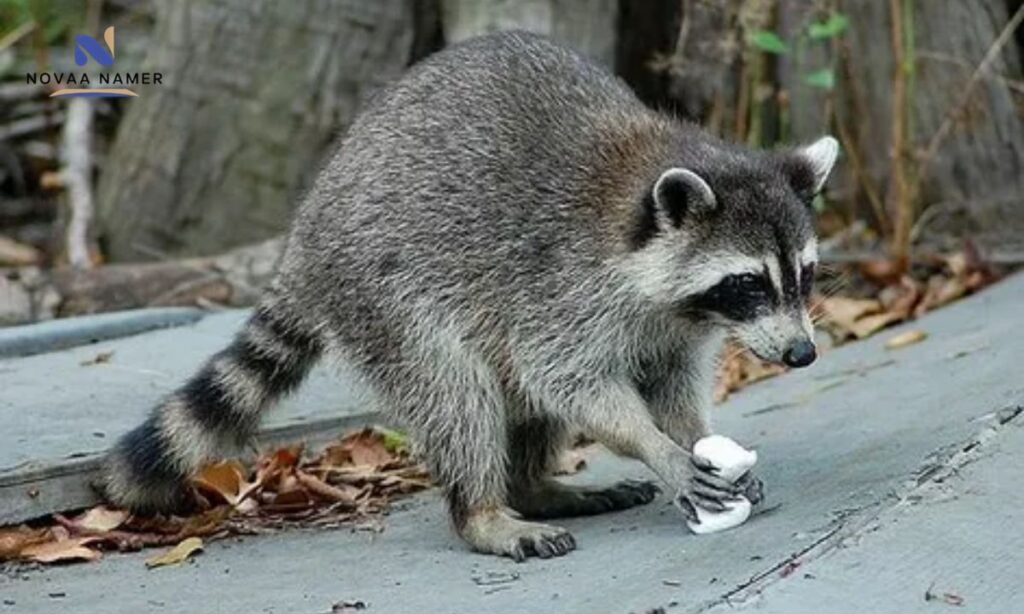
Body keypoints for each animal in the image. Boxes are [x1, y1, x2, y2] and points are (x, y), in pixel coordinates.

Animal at [104, 31, 837, 561]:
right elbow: (568, 380)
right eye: (748, 283)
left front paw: (693, 438)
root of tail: (307, 230)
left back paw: (533, 488)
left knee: (521, 404)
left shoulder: (674, 327)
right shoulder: (561, 284)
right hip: (386, 293)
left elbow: (670, 388)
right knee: (460, 395)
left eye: (802, 276)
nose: (802, 354)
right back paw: (483, 511)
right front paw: (659, 450)